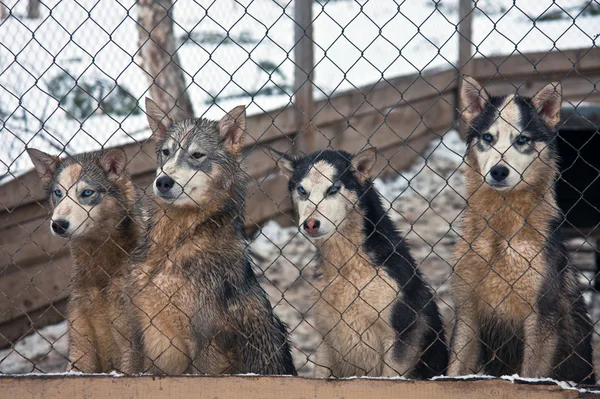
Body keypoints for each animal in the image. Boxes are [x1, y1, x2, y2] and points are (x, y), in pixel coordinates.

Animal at [270, 148, 448, 380]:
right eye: (301, 190)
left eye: (333, 189)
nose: (310, 224)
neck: (346, 268)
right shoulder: (326, 337)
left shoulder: (403, 332)